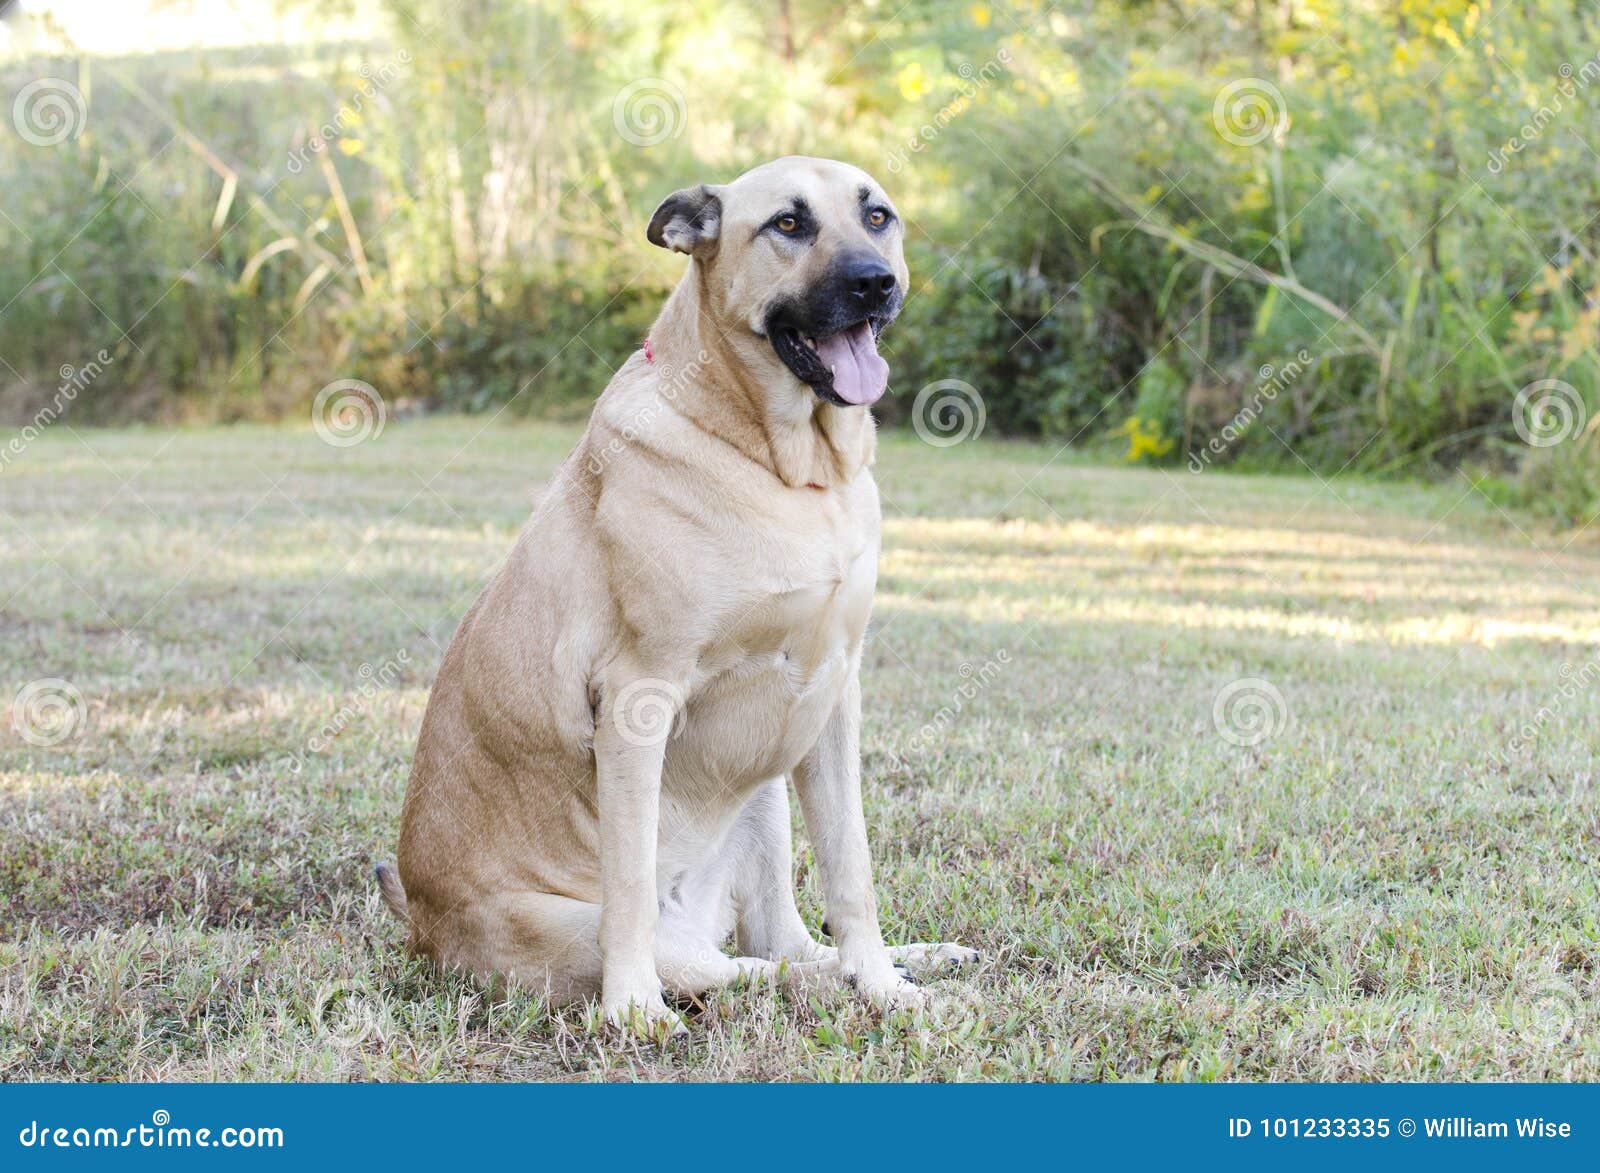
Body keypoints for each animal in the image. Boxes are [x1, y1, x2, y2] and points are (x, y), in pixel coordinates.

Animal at [376, 157, 972, 1036]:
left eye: (877, 216)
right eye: (788, 224)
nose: (876, 282)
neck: (785, 466)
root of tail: (419, 925)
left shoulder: (834, 694)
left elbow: (852, 870)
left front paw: (885, 982)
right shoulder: (637, 699)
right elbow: (628, 889)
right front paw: (632, 1010)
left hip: (768, 784)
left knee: (783, 945)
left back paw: (899, 963)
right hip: (585, 918)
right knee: (736, 967)